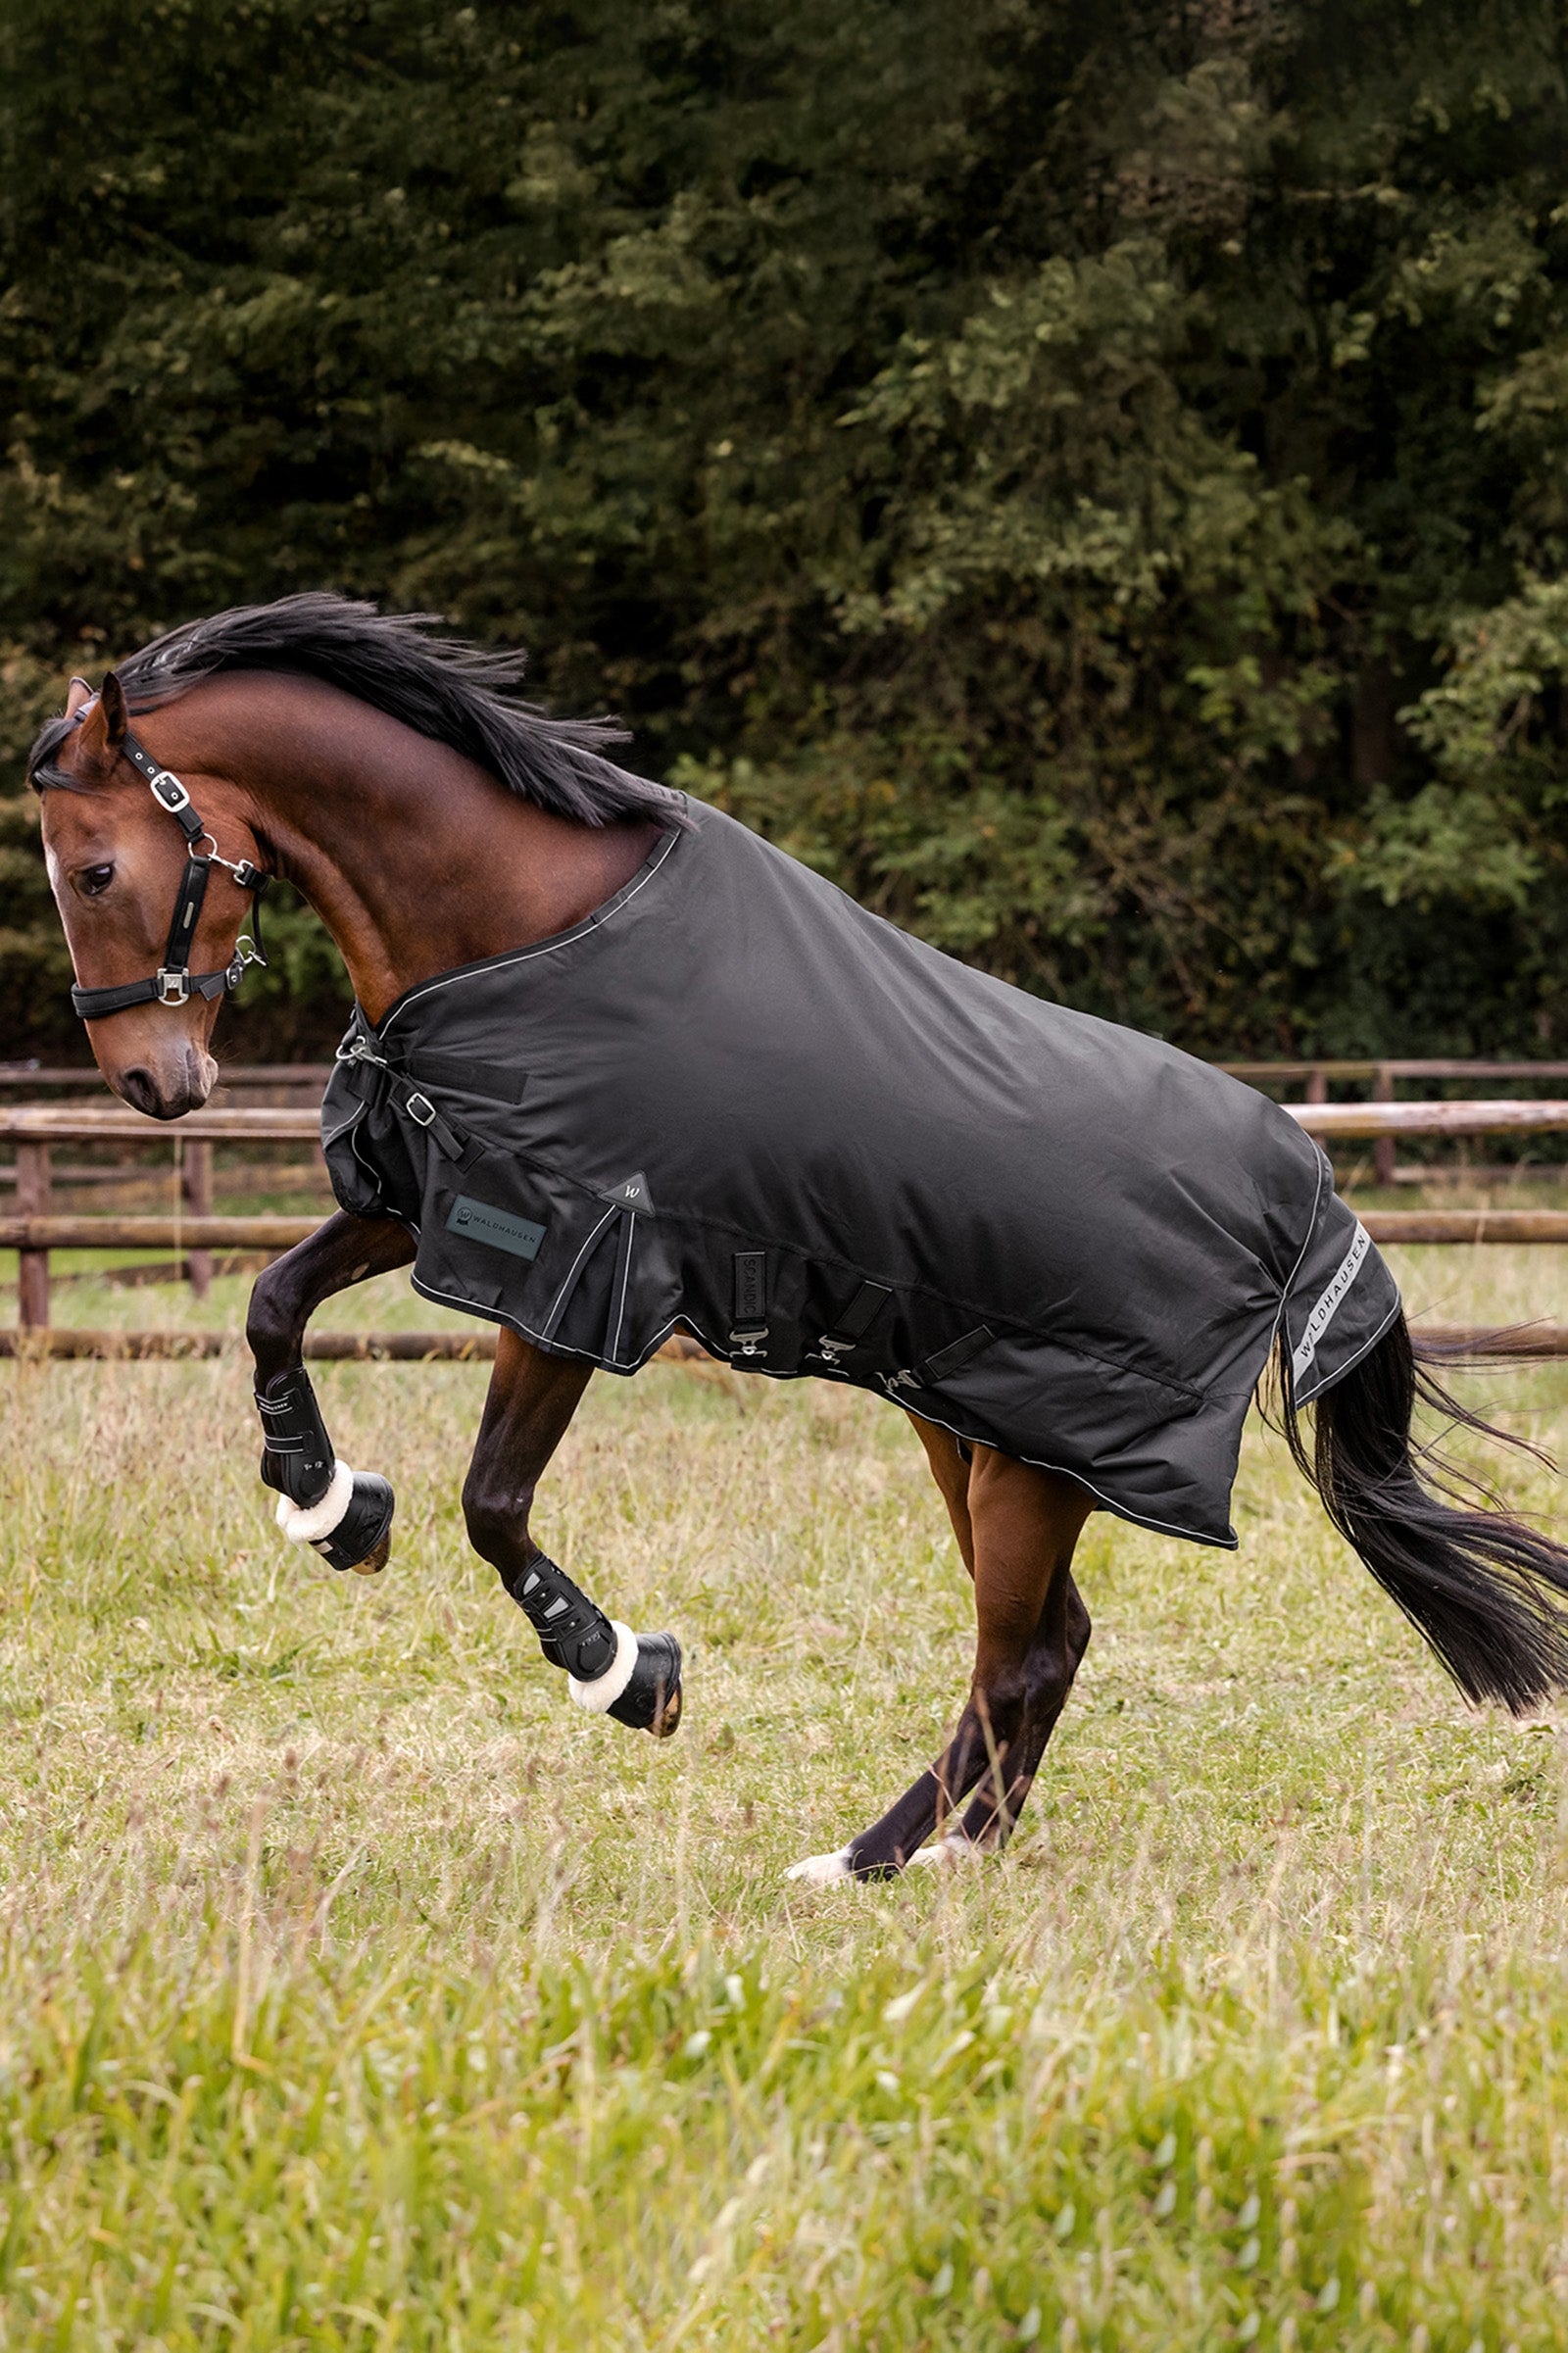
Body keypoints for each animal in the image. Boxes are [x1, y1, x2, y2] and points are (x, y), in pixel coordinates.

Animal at [31, 593, 1568, 1884]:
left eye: (96, 867)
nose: (154, 1083)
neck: (522, 925)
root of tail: (1304, 1199)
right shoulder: (439, 1193)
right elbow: (270, 1306)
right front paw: (329, 1504)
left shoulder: (576, 1260)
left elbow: (493, 1501)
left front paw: (624, 1671)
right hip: (975, 1431)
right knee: (1050, 1646)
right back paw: (948, 1851)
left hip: (1031, 1460)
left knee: (1017, 1659)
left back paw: (878, 1861)